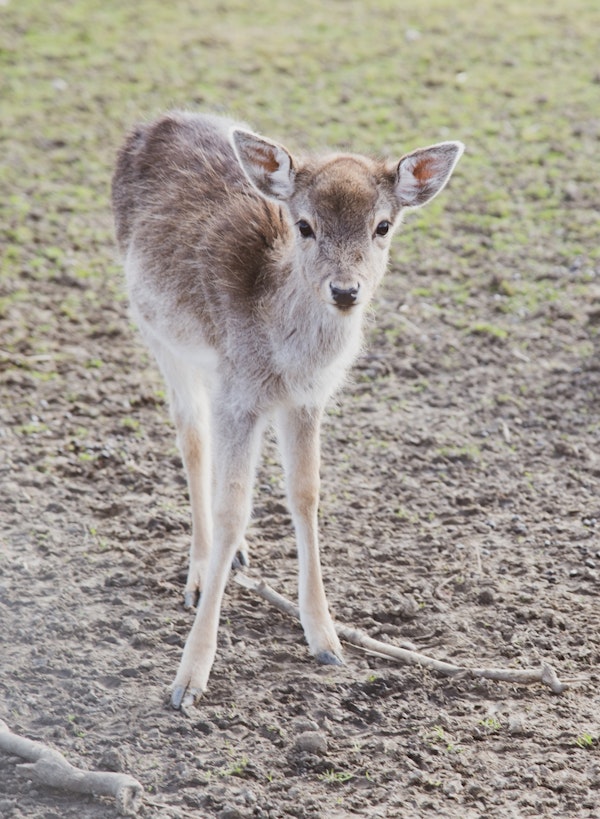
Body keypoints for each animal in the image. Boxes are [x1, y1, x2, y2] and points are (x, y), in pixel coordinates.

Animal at [111, 110, 463, 709]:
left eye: (382, 226)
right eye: (304, 226)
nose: (344, 291)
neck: (281, 354)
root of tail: (156, 120)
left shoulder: (305, 400)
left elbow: (306, 494)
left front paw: (326, 639)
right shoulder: (240, 394)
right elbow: (233, 508)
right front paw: (188, 680)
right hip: (155, 330)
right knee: (191, 433)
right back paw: (201, 570)